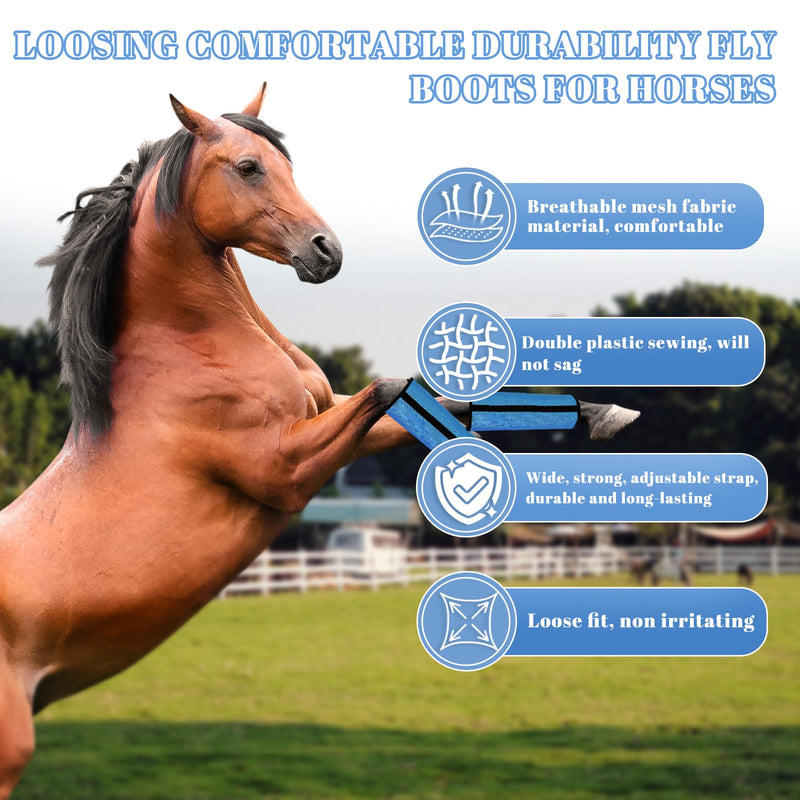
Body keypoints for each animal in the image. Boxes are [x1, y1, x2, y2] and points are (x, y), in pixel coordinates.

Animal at [0, 83, 639, 797]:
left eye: (286, 165)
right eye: (248, 167)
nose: (326, 250)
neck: (189, 352)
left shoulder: (330, 418)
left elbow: (433, 394)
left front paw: (606, 413)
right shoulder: (285, 470)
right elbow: (390, 386)